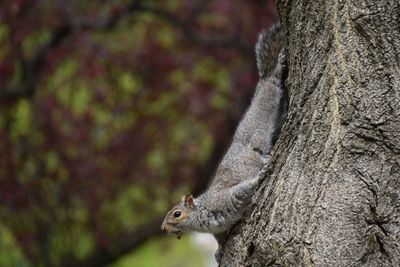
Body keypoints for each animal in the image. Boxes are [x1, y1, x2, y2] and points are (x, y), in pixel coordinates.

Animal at [161, 24, 286, 242]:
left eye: (177, 214)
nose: (163, 228)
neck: (200, 216)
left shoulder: (224, 199)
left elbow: (244, 187)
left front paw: (259, 177)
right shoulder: (217, 230)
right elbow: (220, 240)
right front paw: (219, 250)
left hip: (260, 125)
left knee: (270, 87)